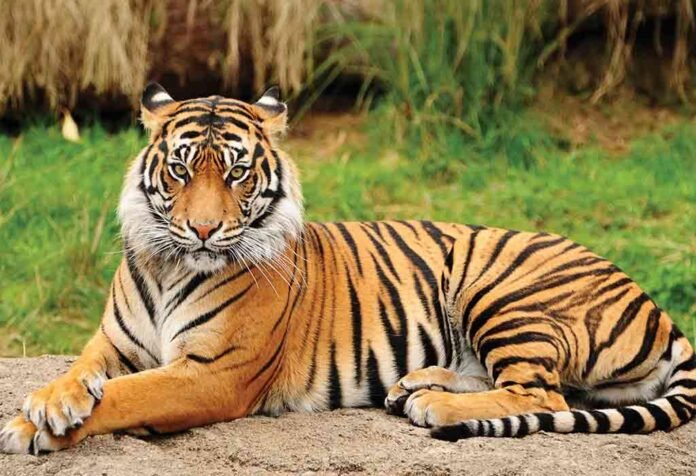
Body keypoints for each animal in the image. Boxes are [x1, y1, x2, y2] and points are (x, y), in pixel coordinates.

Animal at [1, 83, 694, 454]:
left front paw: (31, 427)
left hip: (501, 290)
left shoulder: (212, 374)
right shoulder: (114, 343)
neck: (172, 266)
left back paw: (432, 406)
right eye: (179, 170)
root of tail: (657, 307)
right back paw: (417, 384)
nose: (202, 230)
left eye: (237, 172)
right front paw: (47, 402)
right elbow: (82, 371)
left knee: (541, 391)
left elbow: (126, 395)